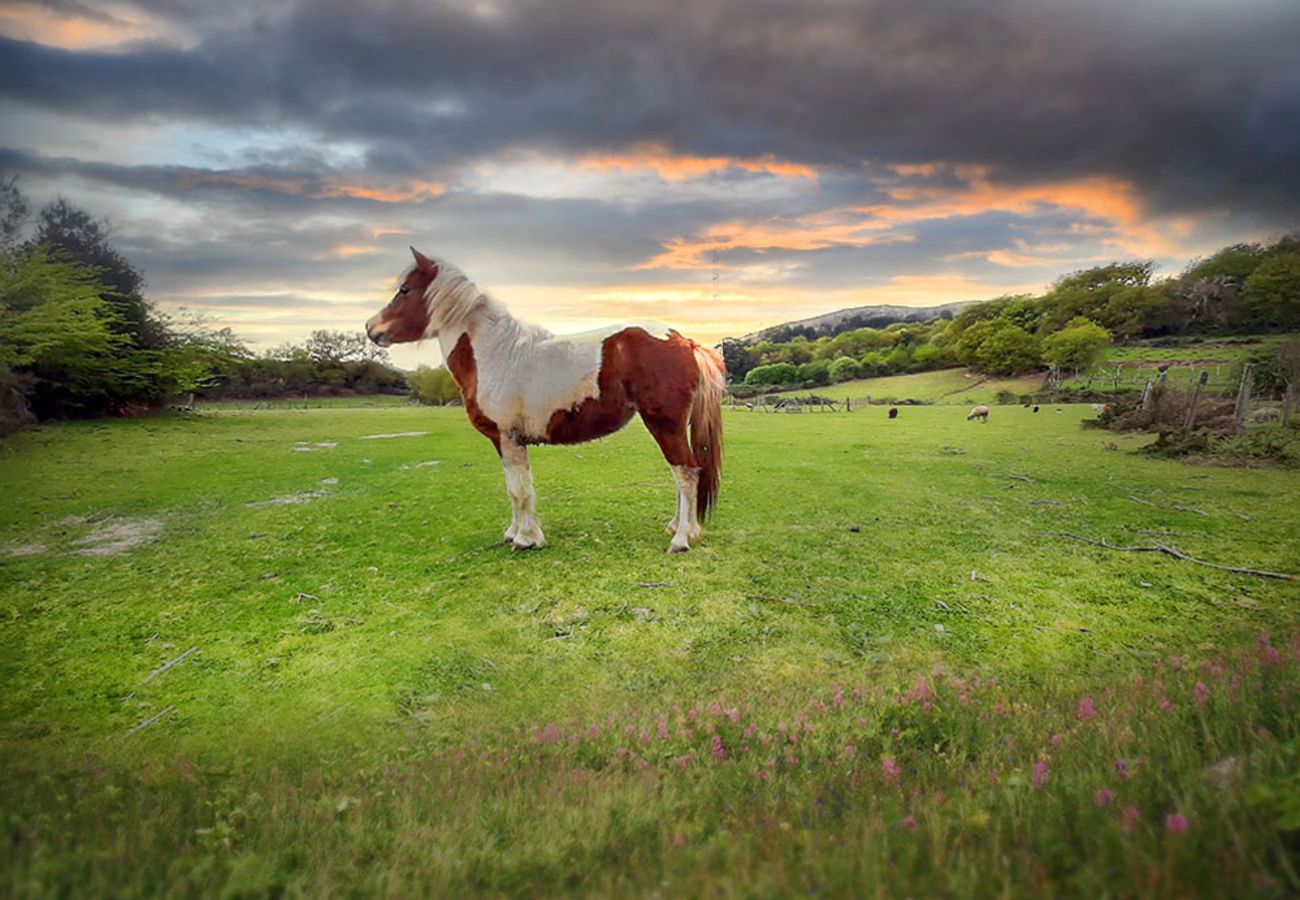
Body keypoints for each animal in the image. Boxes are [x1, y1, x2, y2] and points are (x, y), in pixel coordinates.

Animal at [366, 249, 728, 551]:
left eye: (404, 290)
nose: (371, 327)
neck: (496, 354)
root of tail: (683, 341)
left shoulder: (509, 438)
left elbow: (519, 489)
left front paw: (526, 540)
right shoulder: (504, 442)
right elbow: (514, 488)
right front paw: (514, 533)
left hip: (664, 424)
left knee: (686, 472)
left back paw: (682, 539)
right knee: (681, 472)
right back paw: (679, 527)